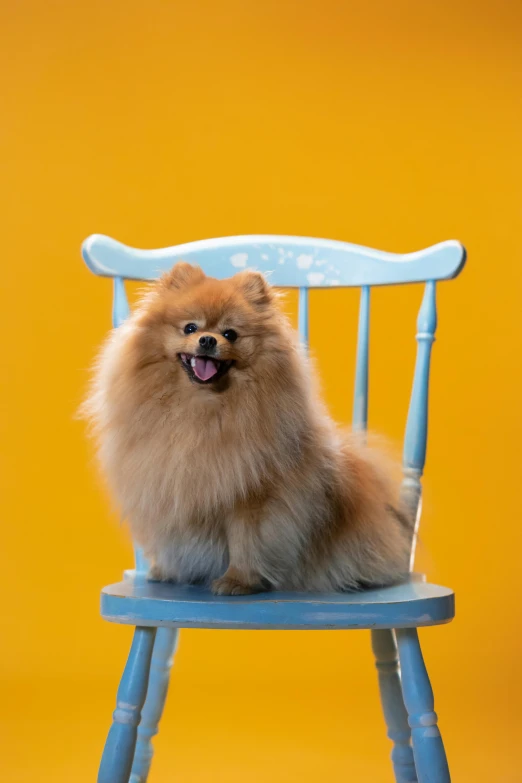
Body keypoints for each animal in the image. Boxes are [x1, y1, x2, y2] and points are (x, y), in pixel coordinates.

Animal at [83, 264, 410, 596]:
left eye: (230, 334)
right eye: (190, 328)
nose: (208, 340)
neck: (202, 409)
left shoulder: (253, 496)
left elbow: (246, 541)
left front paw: (238, 580)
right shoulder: (168, 482)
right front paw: (167, 570)